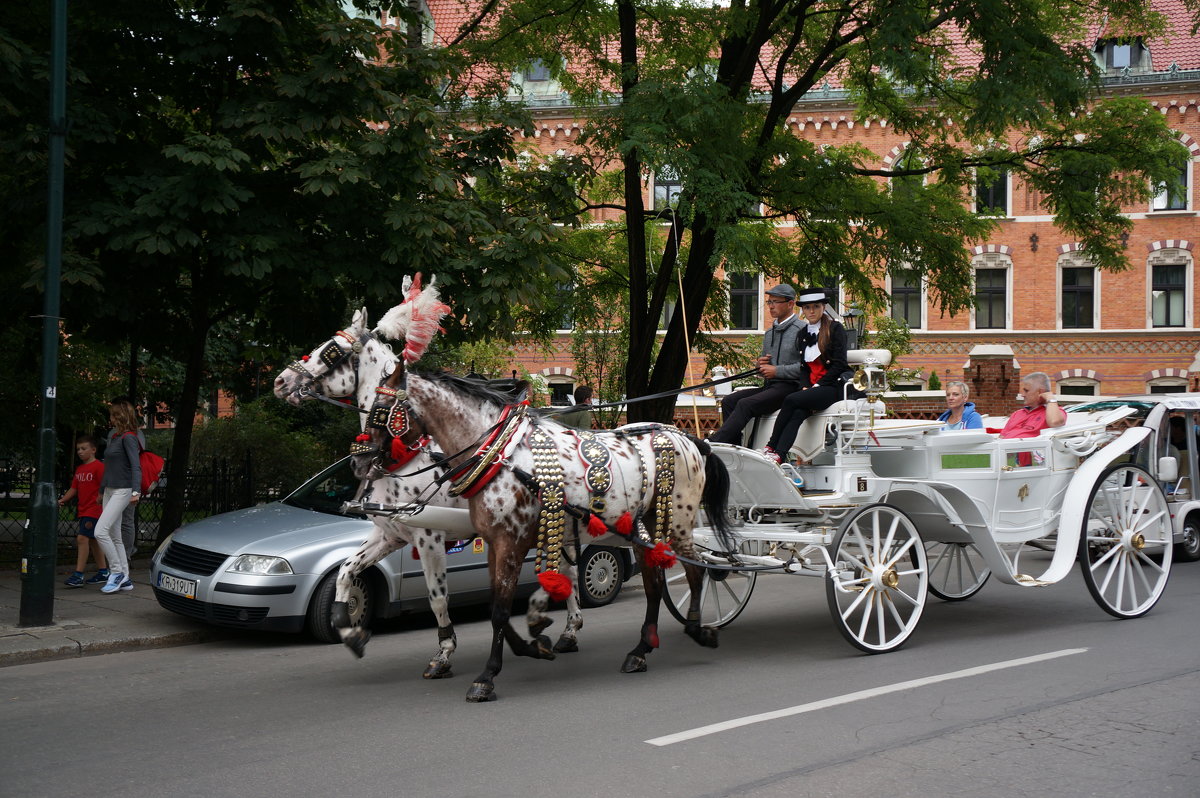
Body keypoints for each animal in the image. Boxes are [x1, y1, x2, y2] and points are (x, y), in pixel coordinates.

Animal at [276, 283, 585, 676]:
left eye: (330, 350)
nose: (280, 382)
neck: (403, 453)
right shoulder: (390, 534)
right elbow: (346, 571)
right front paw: (351, 632)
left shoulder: (429, 536)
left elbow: (438, 597)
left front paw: (443, 653)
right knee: (569, 570)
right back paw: (568, 630)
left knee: (571, 570)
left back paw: (569, 629)